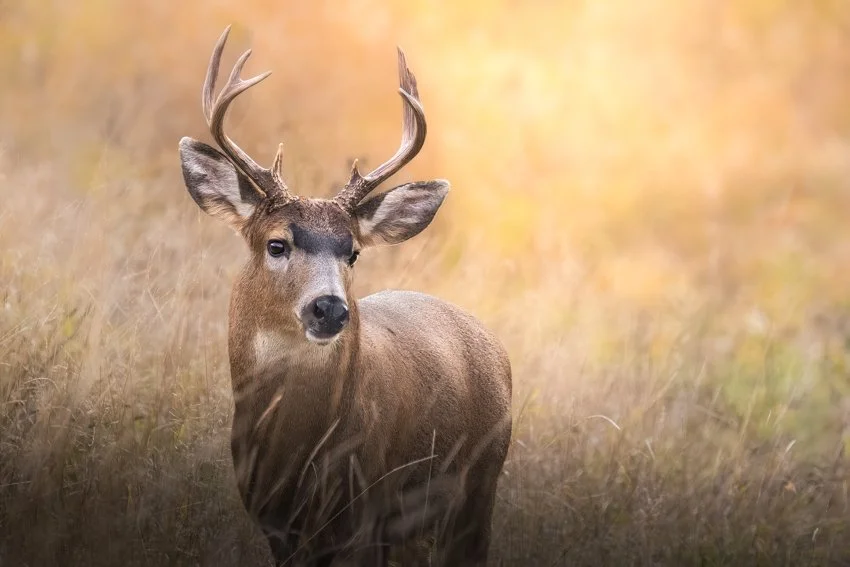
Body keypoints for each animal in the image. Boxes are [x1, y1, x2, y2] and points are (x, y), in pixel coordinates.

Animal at [177, 26, 512, 566]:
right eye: (276, 244)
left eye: (352, 252)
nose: (330, 308)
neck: (293, 449)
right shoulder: (274, 523)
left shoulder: (365, 508)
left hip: (479, 488)